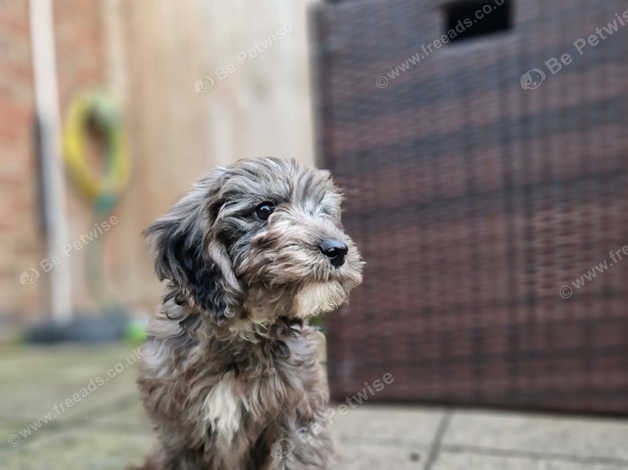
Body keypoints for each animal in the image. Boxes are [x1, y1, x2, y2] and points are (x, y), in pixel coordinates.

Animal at [132, 158, 364, 470]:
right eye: (264, 210)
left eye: (325, 212)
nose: (338, 249)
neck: (244, 328)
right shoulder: (179, 435)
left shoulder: (298, 419)